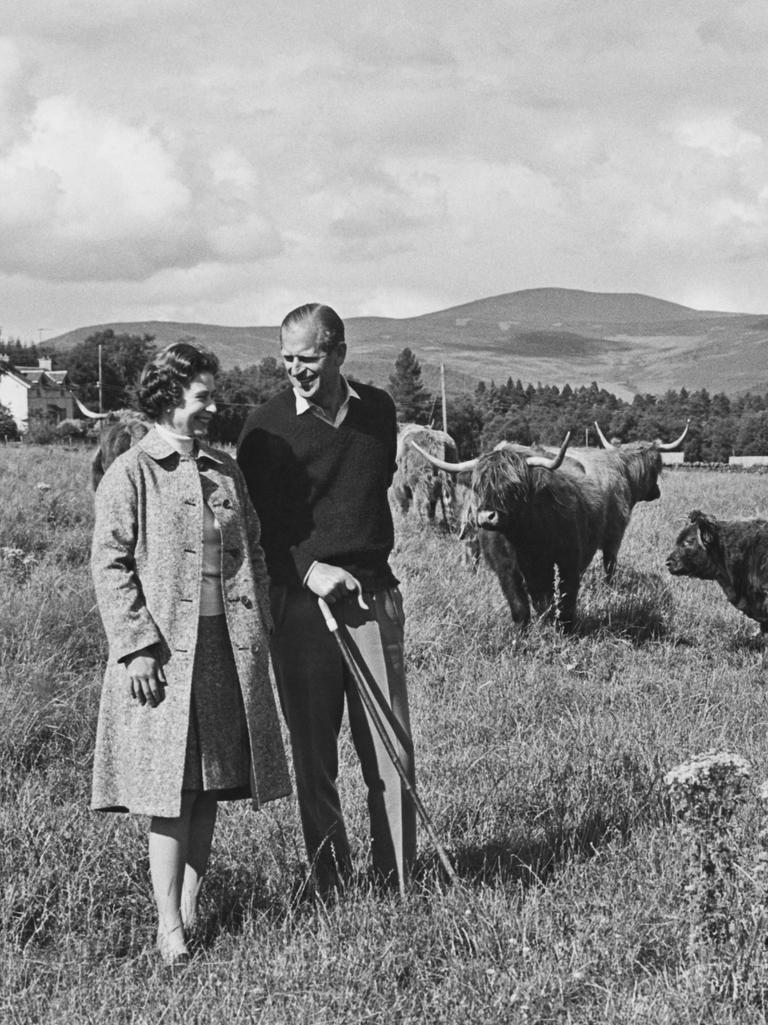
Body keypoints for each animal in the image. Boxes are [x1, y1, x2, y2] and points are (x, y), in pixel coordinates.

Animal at [410, 434, 602, 627]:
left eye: (512, 487)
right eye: (478, 487)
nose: (486, 516)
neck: (525, 539)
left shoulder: (567, 562)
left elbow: (566, 599)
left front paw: (565, 629)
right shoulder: (506, 568)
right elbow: (519, 605)